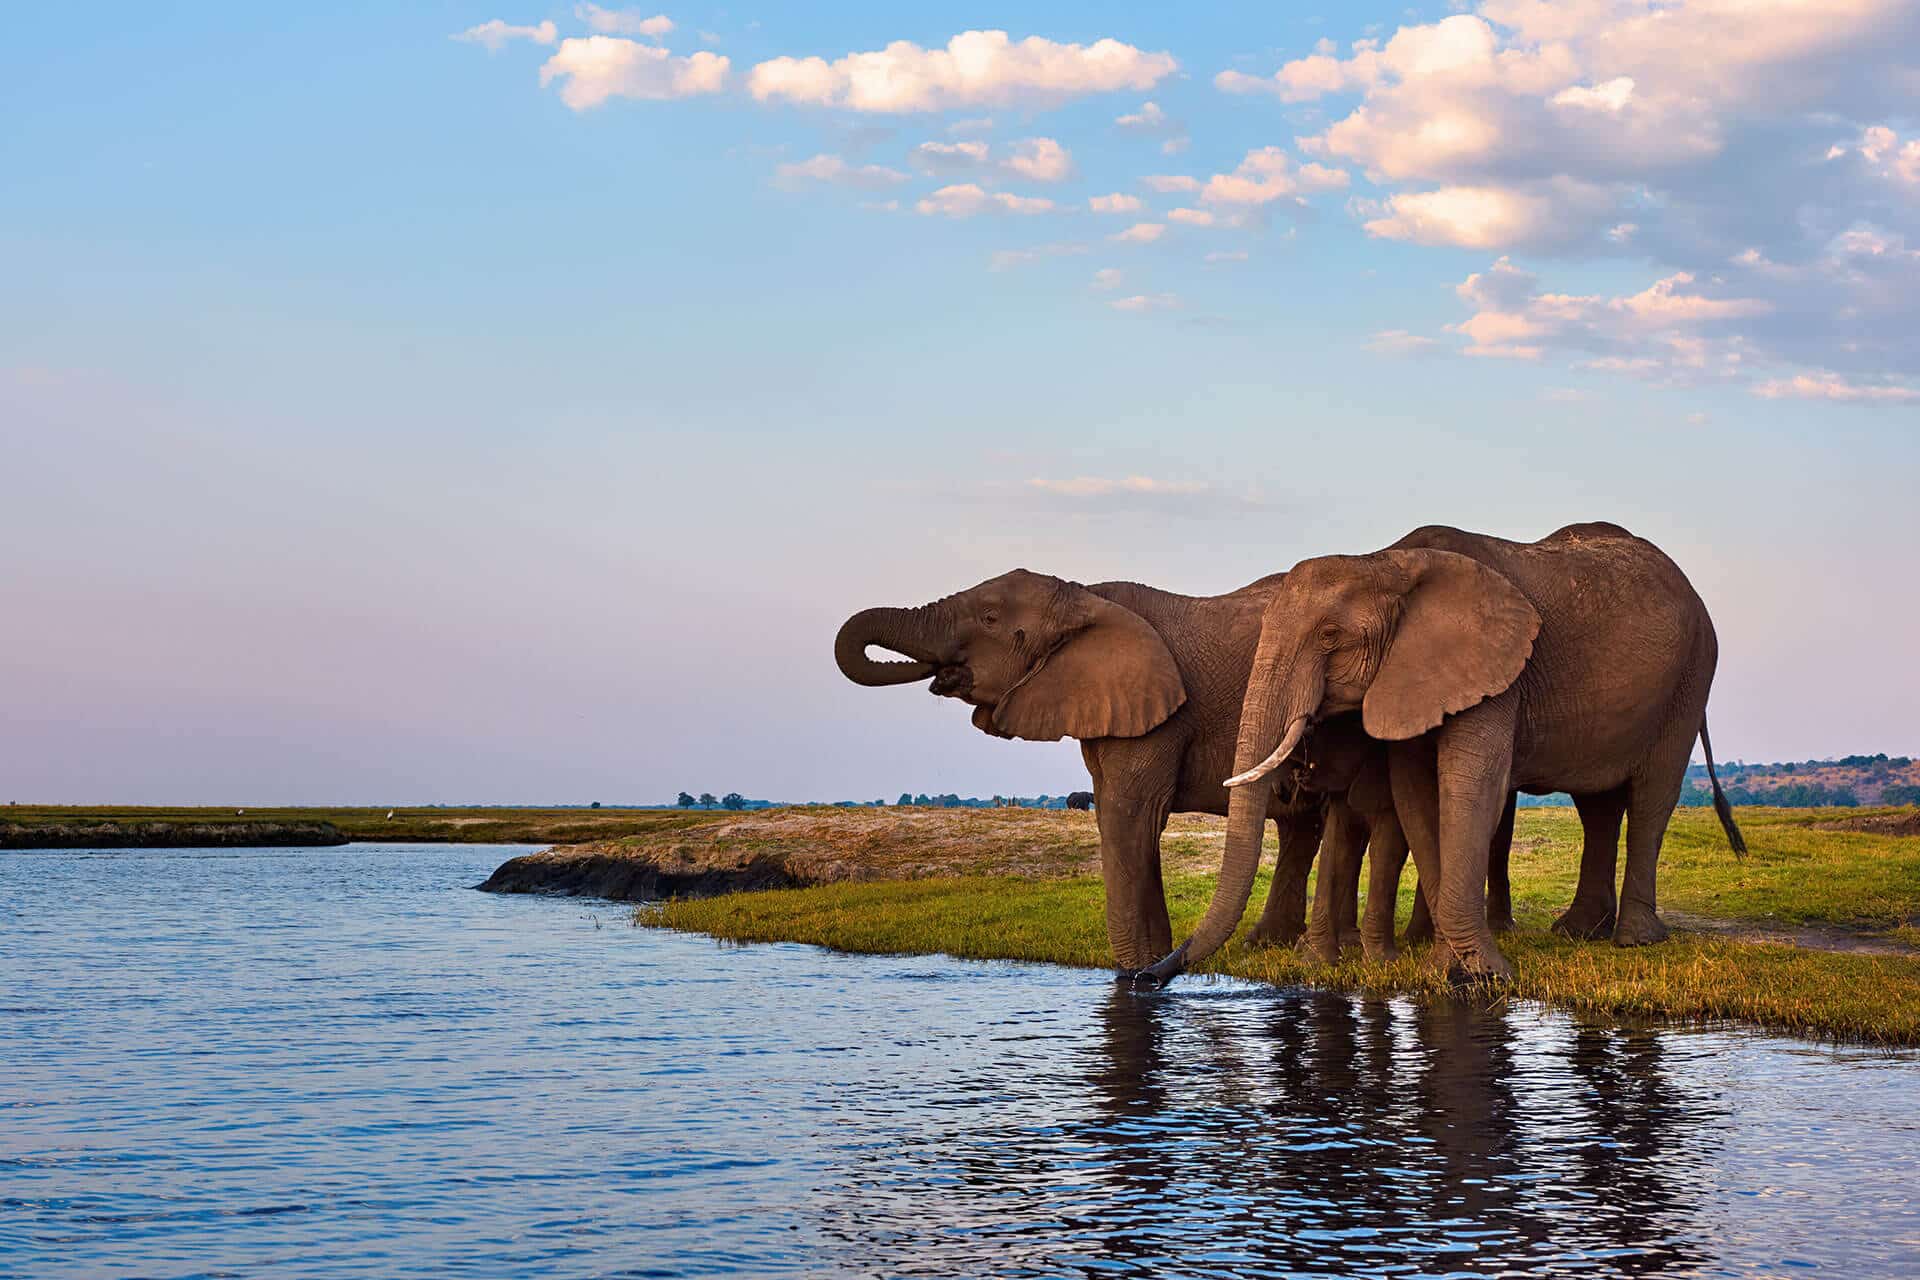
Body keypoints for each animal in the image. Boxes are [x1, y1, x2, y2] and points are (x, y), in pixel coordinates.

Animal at [836, 569, 1336, 970]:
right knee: (1300, 826)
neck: (1086, 598)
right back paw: (1267, 945)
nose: (940, 673)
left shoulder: (1160, 715)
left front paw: (1137, 973)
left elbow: (1130, 816)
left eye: (990, 618)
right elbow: (1127, 825)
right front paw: (1150, 965)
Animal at [1135, 522, 1746, 986]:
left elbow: (1470, 789)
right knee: (1597, 804)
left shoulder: (1497, 672)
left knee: (1653, 795)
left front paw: (1484, 976)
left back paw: (1632, 942)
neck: (1386, 562)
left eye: (1330, 637)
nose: (1147, 979)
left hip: (1692, 674)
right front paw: (1446, 968)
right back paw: (1579, 933)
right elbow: (1415, 798)